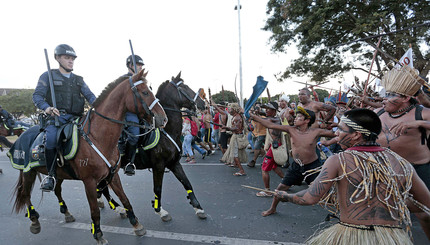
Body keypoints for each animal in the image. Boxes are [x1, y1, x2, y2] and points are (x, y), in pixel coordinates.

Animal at [11, 69, 166, 245]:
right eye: (145, 92)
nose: (163, 118)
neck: (98, 137)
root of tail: (23, 134)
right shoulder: (89, 181)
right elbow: (94, 210)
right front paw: (98, 234)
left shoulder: (113, 175)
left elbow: (125, 199)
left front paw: (136, 224)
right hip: (28, 172)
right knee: (25, 194)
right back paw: (34, 220)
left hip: (59, 173)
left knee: (57, 189)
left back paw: (66, 213)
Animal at [101, 72, 208, 221]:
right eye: (185, 87)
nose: (203, 104)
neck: (166, 131)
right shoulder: (159, 165)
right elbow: (158, 188)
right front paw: (160, 210)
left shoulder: (174, 163)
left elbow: (186, 183)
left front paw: (198, 207)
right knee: (103, 188)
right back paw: (118, 208)